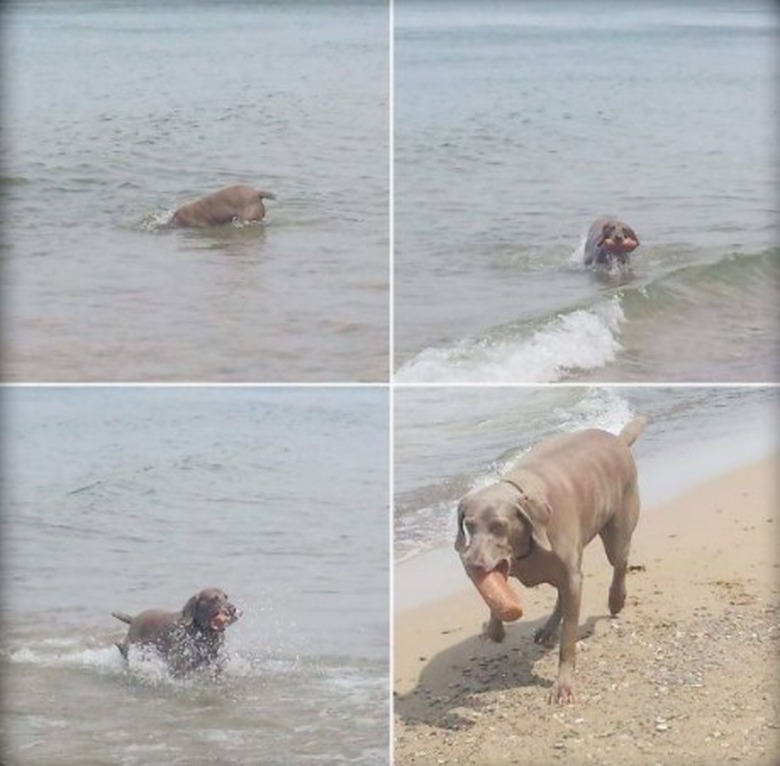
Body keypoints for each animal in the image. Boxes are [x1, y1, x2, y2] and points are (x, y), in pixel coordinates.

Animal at [109, 588, 238, 680]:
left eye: (226, 597)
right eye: (214, 599)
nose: (233, 609)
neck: (202, 633)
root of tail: (134, 618)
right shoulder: (180, 665)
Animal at [454, 416, 648, 704]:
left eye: (499, 527)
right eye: (468, 525)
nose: (473, 564)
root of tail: (617, 440)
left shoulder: (570, 575)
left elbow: (568, 640)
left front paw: (563, 685)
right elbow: (497, 596)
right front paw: (495, 630)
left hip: (618, 526)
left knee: (619, 563)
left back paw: (616, 599)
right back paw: (547, 628)